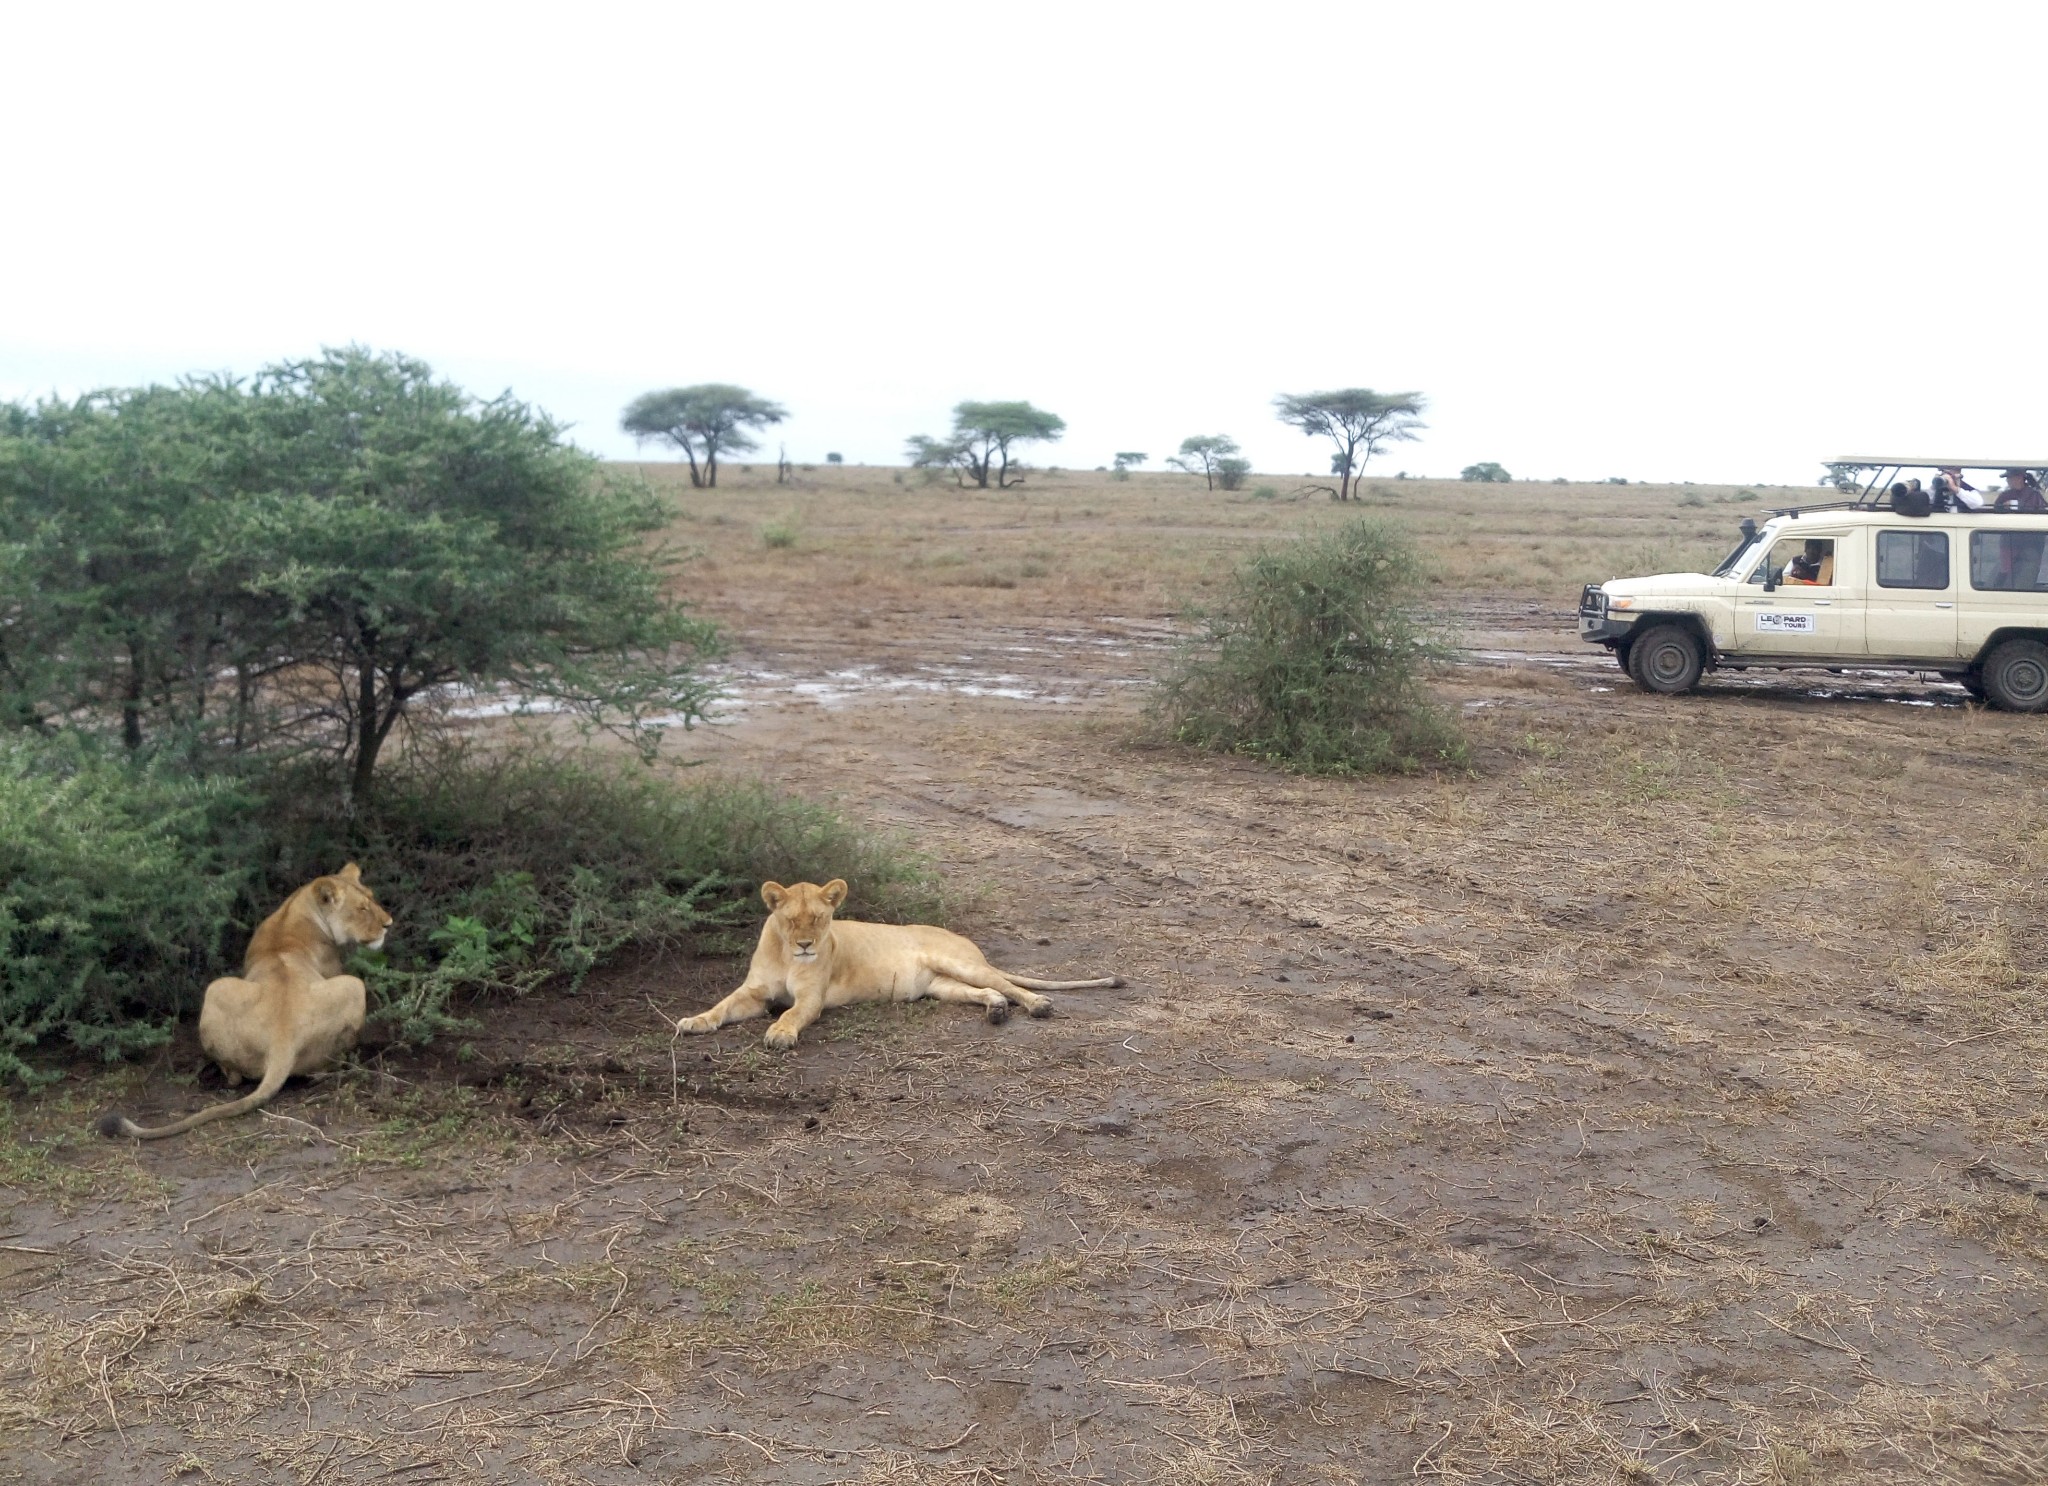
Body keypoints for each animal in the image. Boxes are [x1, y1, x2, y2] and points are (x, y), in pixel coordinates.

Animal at [96, 859, 391, 1138]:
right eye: (362, 908)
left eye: (372, 897)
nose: (388, 924)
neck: (297, 907)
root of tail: (282, 1040)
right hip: (350, 985)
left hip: (220, 987)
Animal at [675, 880, 1122, 1056]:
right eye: (790, 920)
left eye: (818, 918)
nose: (805, 945)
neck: (787, 956)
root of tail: (972, 947)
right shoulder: (753, 993)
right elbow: (721, 1006)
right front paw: (694, 1022)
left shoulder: (811, 999)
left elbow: (791, 1013)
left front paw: (780, 1034)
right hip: (942, 985)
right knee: (991, 992)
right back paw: (996, 1012)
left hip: (957, 963)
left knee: (1010, 986)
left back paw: (1038, 1005)